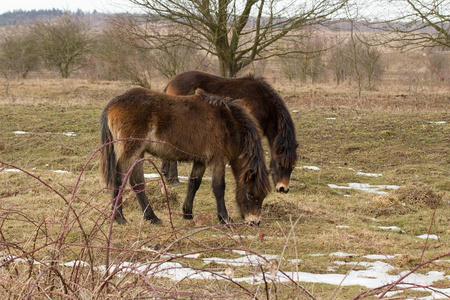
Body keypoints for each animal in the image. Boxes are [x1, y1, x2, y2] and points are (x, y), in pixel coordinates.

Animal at [100, 86, 270, 225]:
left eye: (262, 197)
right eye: (250, 195)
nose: (255, 222)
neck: (227, 121)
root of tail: (112, 103)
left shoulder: (201, 161)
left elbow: (194, 184)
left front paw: (187, 213)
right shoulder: (217, 160)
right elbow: (219, 187)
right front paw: (224, 218)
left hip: (137, 154)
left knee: (133, 182)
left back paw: (147, 217)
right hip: (131, 152)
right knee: (123, 180)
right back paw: (123, 217)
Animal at [163, 70, 298, 192]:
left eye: (292, 168)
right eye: (280, 165)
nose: (283, 189)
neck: (263, 102)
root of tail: (171, 82)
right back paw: (174, 179)